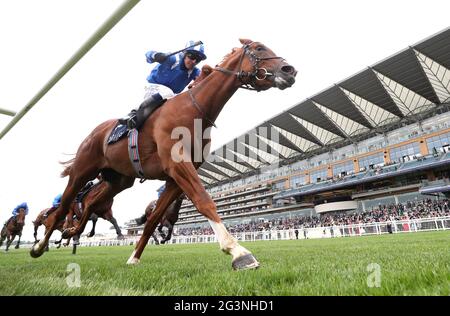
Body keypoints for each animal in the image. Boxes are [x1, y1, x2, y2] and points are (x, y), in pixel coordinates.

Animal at [32, 37, 298, 270]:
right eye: (259, 48)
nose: (290, 70)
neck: (192, 110)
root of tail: (94, 133)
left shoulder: (174, 178)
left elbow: (153, 220)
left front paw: (133, 258)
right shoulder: (178, 166)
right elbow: (204, 200)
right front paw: (238, 252)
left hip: (118, 181)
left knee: (88, 206)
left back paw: (71, 232)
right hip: (82, 171)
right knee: (62, 208)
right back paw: (39, 246)